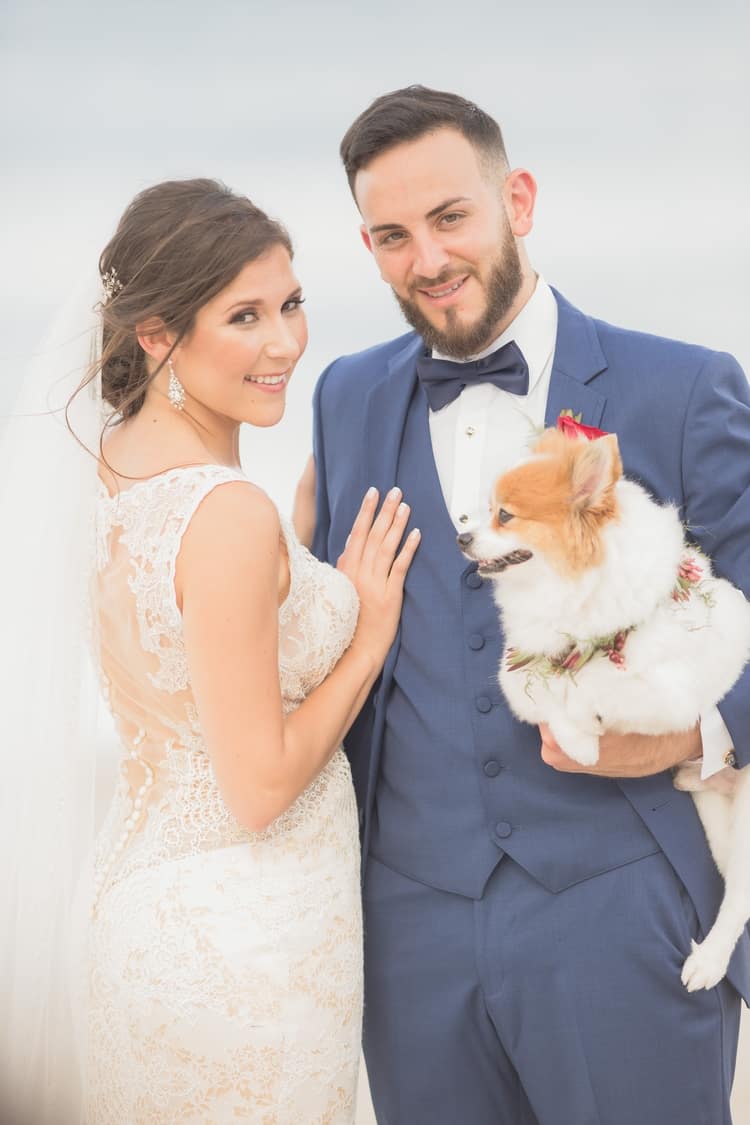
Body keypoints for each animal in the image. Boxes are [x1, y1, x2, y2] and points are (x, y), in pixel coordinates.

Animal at [458, 423, 750, 994]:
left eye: (504, 515)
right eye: (484, 511)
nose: (461, 536)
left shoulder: (669, 691)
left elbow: (596, 684)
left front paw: (585, 741)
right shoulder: (522, 663)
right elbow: (533, 684)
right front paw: (571, 730)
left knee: (739, 902)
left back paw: (709, 961)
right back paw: (690, 774)